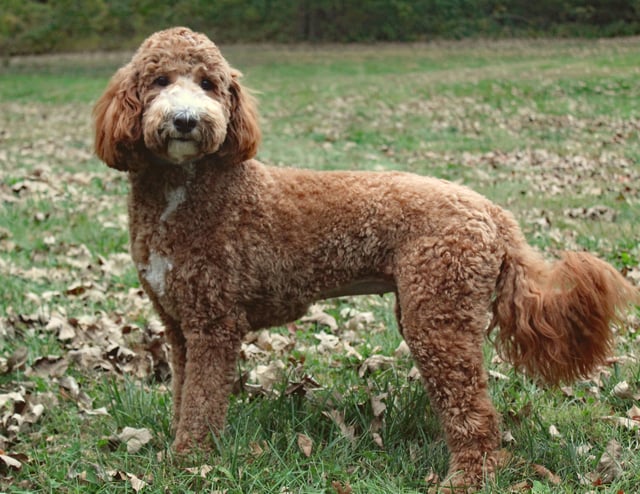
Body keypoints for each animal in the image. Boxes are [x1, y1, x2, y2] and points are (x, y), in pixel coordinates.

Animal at [92, 28, 636, 490]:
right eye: (159, 81)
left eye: (209, 83)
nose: (186, 120)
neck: (183, 190)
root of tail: (493, 212)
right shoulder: (180, 327)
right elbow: (184, 395)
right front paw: (175, 450)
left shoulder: (214, 326)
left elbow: (202, 404)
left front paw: (189, 464)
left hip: (437, 316)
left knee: (474, 413)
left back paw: (465, 478)